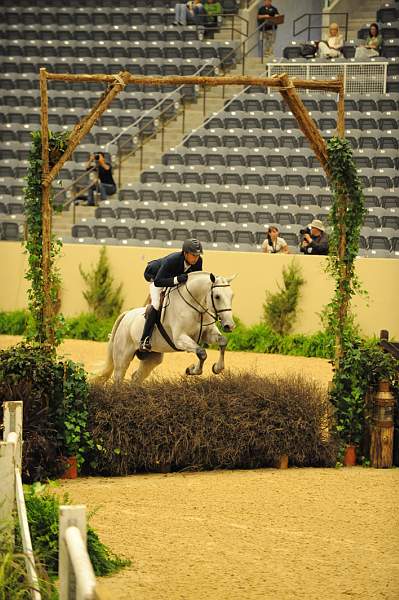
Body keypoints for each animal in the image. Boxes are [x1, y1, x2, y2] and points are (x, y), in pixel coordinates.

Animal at [95, 272, 236, 384]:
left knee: (137, 377)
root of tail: (126, 315)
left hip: (152, 358)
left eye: (232, 296)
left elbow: (223, 342)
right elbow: (201, 352)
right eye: (217, 296)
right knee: (119, 376)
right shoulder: (180, 339)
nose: (230, 325)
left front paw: (217, 368)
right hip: (123, 356)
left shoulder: (207, 333)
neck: (196, 307)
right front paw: (192, 370)